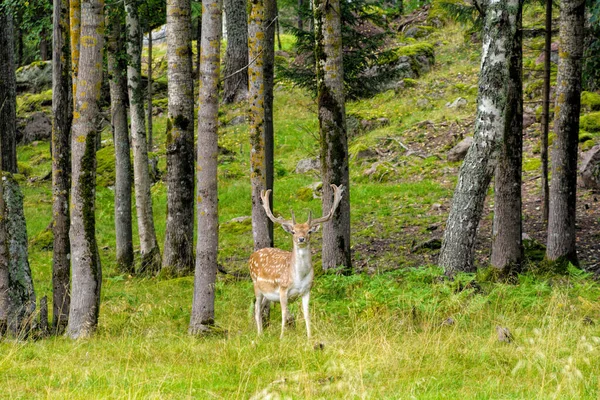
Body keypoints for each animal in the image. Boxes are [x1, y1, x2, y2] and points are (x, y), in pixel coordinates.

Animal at [247, 184, 342, 338]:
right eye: (293, 232)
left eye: (309, 231)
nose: (301, 239)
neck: (298, 277)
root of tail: (252, 256)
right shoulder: (283, 289)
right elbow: (284, 314)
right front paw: (281, 338)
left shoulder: (307, 290)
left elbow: (307, 314)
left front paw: (310, 337)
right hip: (256, 284)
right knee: (256, 308)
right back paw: (260, 334)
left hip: (268, 293)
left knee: (260, 307)